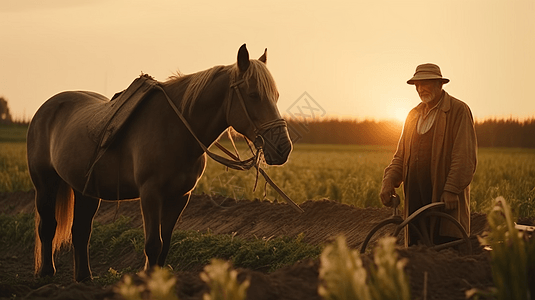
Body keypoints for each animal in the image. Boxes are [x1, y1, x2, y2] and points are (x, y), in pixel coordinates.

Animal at [26, 44, 294, 282]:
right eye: (253, 95)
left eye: (276, 96)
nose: (283, 148)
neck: (176, 128)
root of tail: (44, 109)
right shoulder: (151, 194)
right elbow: (154, 244)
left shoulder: (179, 197)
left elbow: (165, 245)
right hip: (45, 184)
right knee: (48, 227)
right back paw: (46, 274)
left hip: (86, 191)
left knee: (80, 232)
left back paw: (84, 278)